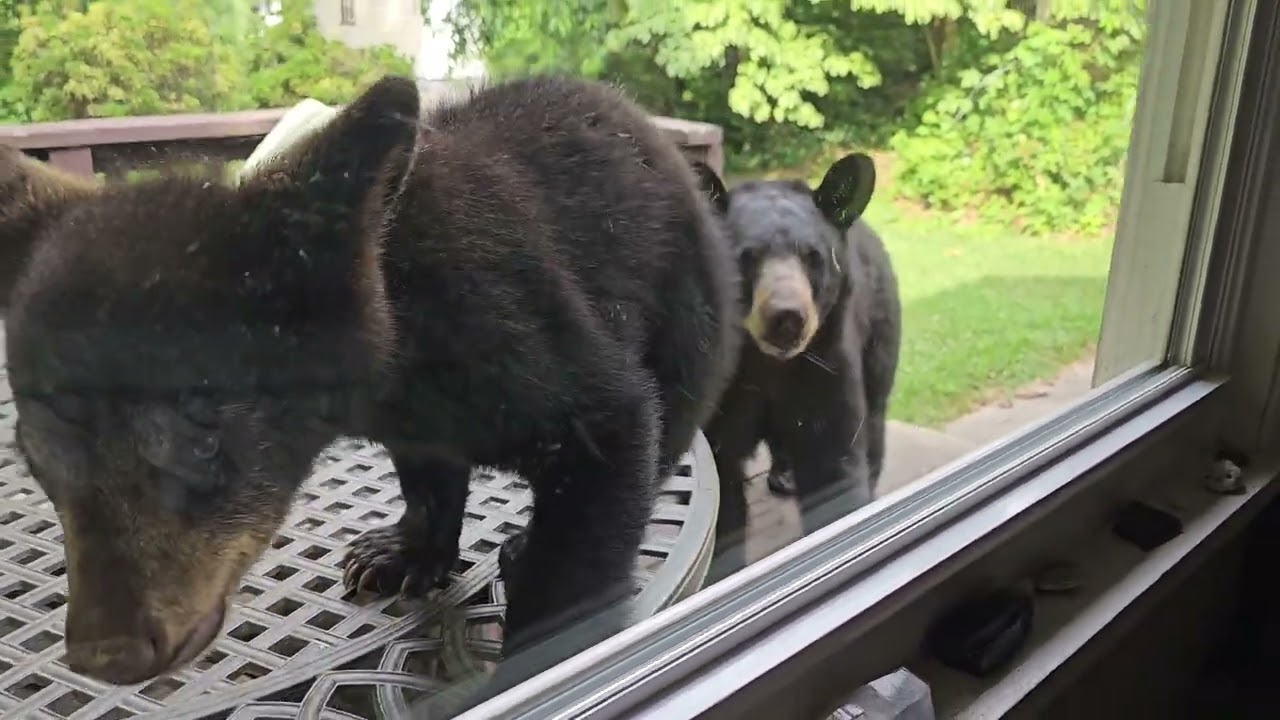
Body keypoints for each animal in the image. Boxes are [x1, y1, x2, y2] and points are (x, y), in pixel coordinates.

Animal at [3, 74, 740, 698]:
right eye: (35, 453)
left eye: (202, 432)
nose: (107, 652)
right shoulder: (412, 413)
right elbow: (428, 468)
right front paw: (402, 552)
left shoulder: (520, 332)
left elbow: (605, 448)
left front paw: (542, 650)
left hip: (690, 318)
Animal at [691, 155, 902, 581]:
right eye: (746, 256)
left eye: (813, 256)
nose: (787, 316)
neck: (769, 364)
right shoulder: (724, 386)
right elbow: (723, 485)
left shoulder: (826, 363)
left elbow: (834, 459)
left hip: (879, 337)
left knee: (874, 419)